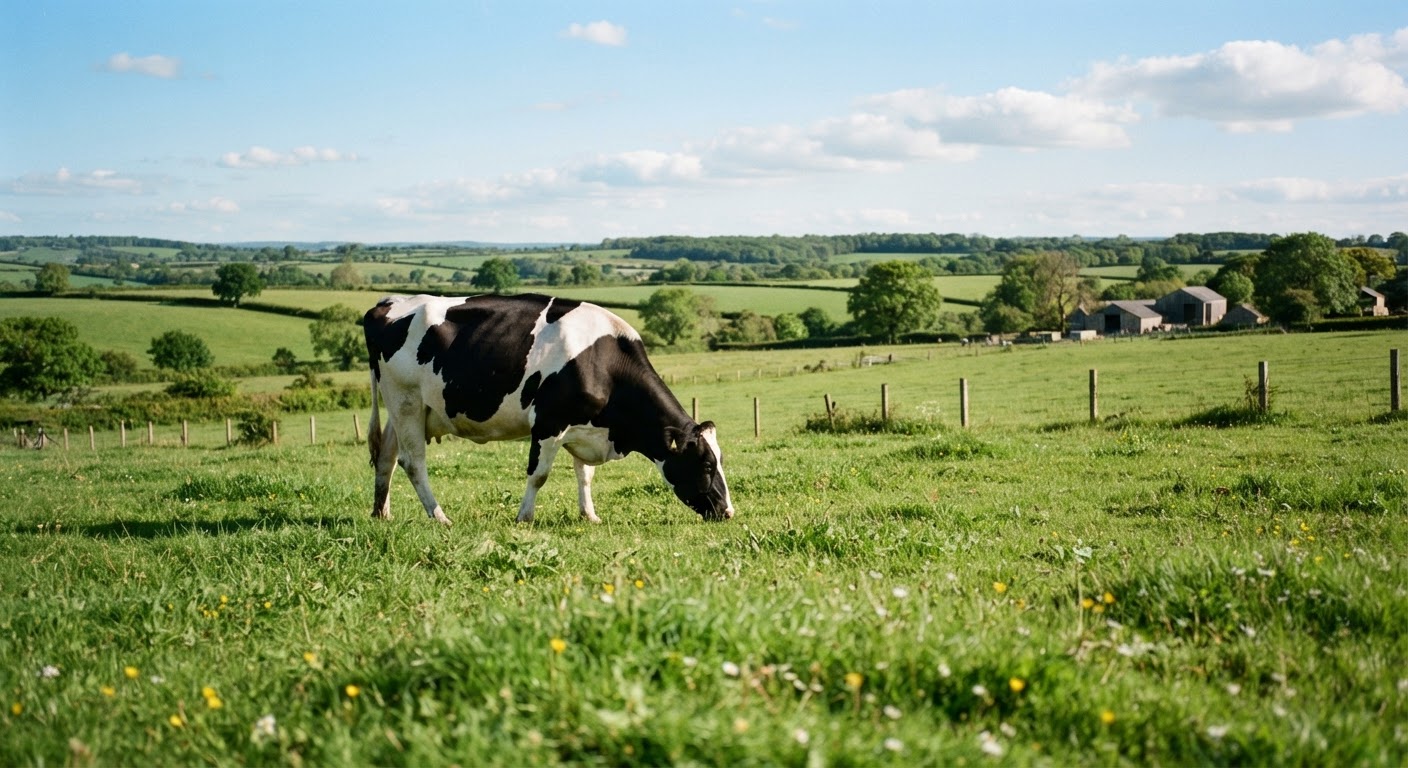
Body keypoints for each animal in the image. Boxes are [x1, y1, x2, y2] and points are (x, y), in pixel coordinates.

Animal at [363, 293, 734, 525]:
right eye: (705, 464)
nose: (727, 511)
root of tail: (389, 303)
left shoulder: (584, 427)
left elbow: (585, 474)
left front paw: (589, 515)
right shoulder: (548, 422)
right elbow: (538, 474)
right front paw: (524, 517)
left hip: (406, 407)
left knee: (387, 458)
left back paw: (381, 513)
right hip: (406, 400)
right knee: (413, 462)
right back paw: (439, 516)